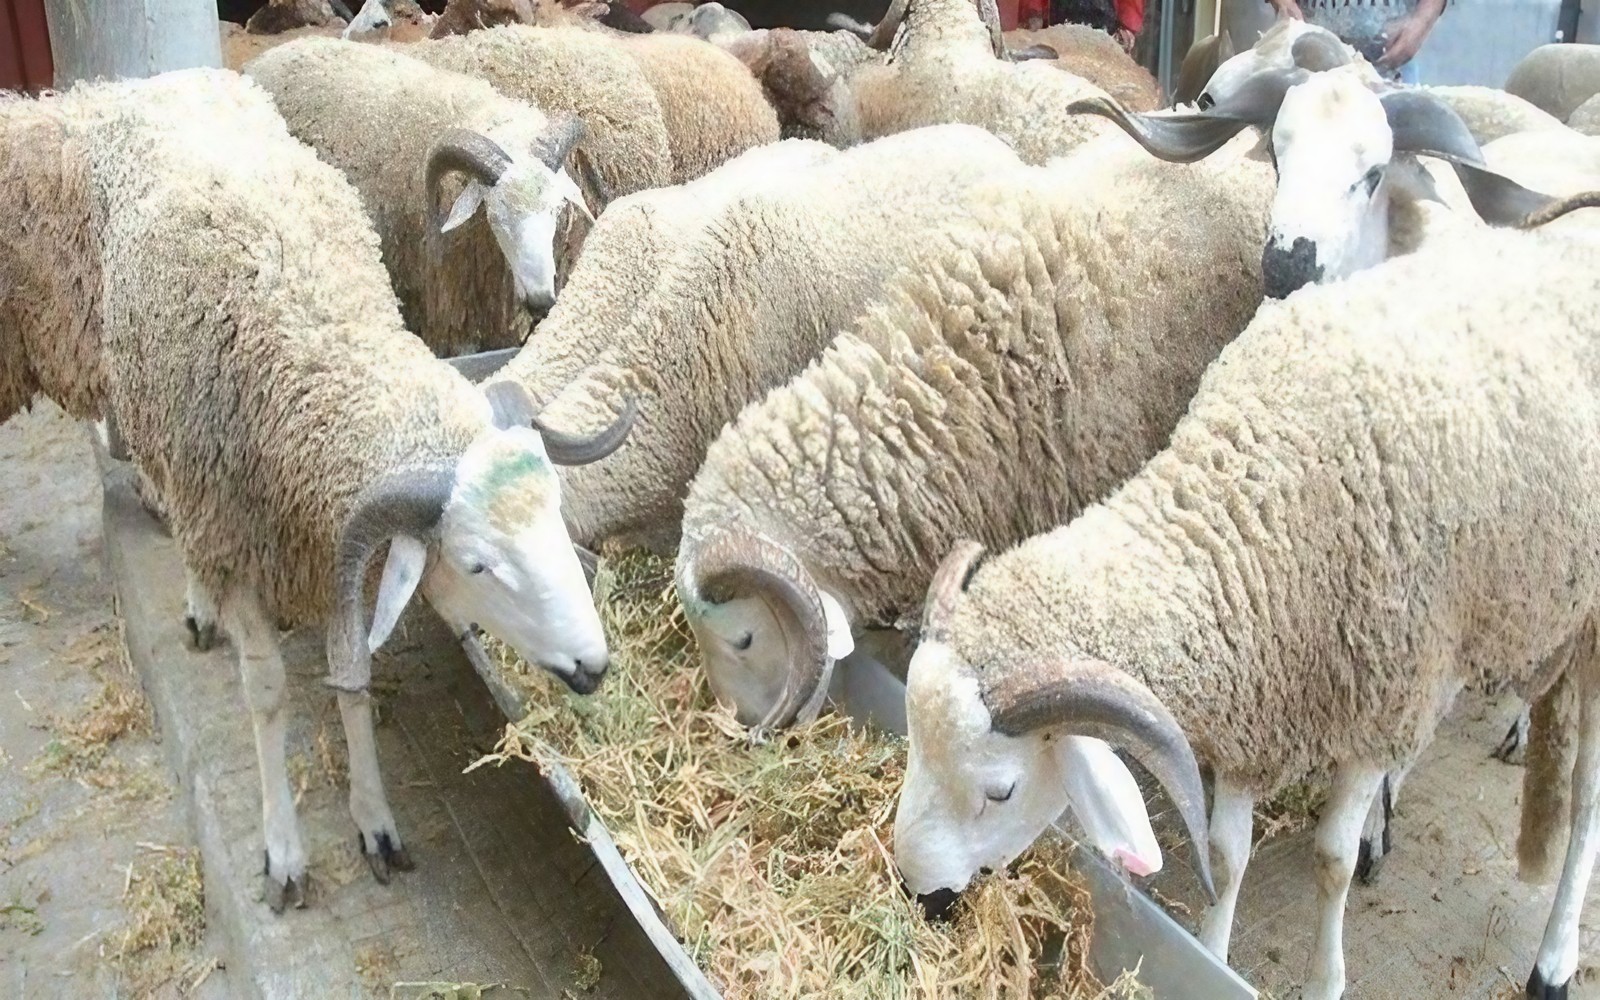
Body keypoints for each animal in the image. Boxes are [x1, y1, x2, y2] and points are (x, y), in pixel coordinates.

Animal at [890, 227, 1600, 1000]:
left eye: (1000, 791)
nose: (919, 898)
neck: (1254, 500)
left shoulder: (1379, 702)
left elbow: (1331, 861)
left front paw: (1325, 979)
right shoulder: (1254, 697)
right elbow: (1228, 855)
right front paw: (1213, 954)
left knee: (1585, 803)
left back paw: (1554, 960)